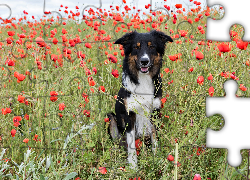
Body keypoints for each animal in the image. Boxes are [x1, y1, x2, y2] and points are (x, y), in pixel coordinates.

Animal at [106, 29, 173, 169]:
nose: (144, 61)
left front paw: (156, 158)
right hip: (112, 119)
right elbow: (131, 145)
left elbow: (155, 139)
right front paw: (133, 167)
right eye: (136, 47)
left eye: (152, 46)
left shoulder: (154, 112)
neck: (143, 79)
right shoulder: (129, 115)